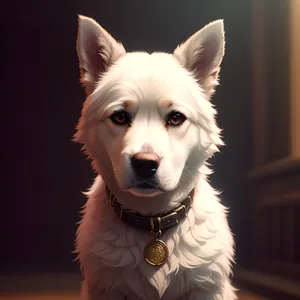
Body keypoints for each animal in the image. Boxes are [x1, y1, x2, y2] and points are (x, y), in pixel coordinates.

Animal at [74, 14, 237, 300]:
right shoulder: (105, 287)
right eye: (119, 117)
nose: (144, 164)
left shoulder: (206, 288)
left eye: (176, 118)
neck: (152, 225)